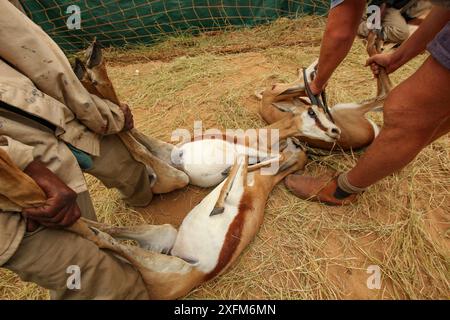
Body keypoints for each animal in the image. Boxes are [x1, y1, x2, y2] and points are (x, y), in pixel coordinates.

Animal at [7, 136, 308, 298]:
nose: (293, 143)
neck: (262, 187)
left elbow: (241, 163)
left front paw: (218, 207)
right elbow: (245, 161)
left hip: (157, 262)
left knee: (103, 238)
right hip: (165, 233)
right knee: (108, 231)